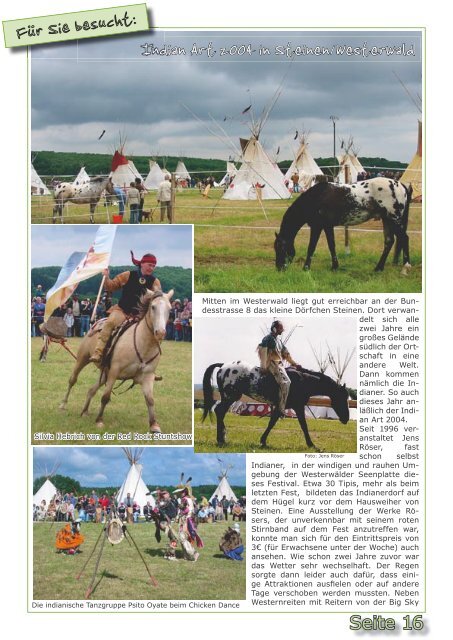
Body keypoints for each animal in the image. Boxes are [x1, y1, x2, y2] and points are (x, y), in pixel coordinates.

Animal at [60, 288, 173, 430]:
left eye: (169, 309)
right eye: (153, 307)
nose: (160, 333)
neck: (142, 343)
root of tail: (97, 322)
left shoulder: (147, 375)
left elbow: (150, 400)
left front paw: (154, 425)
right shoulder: (114, 371)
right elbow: (105, 396)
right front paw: (99, 420)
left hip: (104, 374)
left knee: (91, 390)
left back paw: (85, 411)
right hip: (82, 359)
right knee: (72, 380)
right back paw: (63, 404)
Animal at [202, 360, 350, 450]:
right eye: (342, 398)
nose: (346, 419)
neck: (302, 380)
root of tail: (223, 366)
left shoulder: (284, 406)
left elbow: (273, 422)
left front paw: (263, 441)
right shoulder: (297, 407)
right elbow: (303, 425)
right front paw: (312, 445)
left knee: (220, 412)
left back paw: (222, 438)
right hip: (230, 397)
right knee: (220, 411)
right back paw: (221, 439)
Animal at [274, 176, 412, 274]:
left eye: (280, 248)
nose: (279, 268)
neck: (315, 198)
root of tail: (401, 185)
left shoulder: (317, 226)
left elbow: (311, 247)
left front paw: (306, 268)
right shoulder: (327, 226)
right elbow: (331, 245)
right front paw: (335, 267)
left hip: (394, 219)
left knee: (404, 238)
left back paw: (405, 267)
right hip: (387, 220)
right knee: (389, 241)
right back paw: (378, 268)